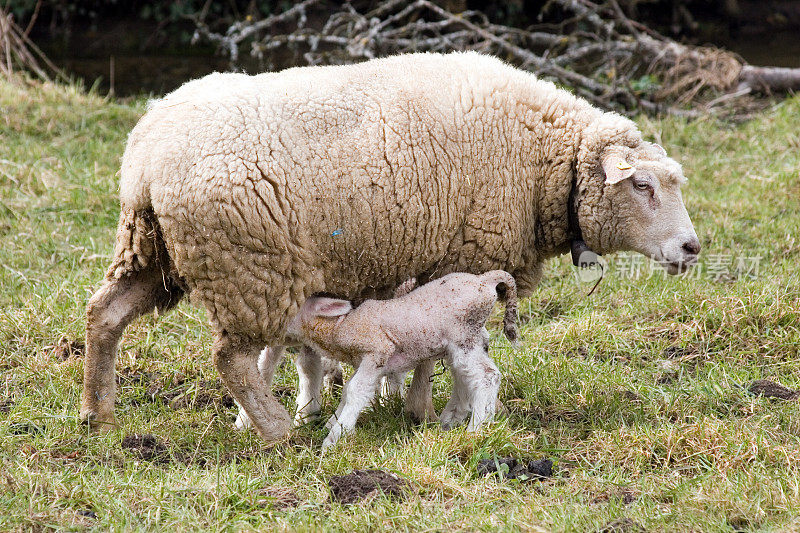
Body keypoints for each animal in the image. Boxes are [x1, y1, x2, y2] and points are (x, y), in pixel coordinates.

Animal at [284, 270, 520, 448]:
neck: (338, 326)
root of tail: (485, 279)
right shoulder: (366, 363)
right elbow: (348, 390)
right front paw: (332, 423)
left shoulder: (377, 350)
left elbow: (355, 391)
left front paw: (335, 437)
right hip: (471, 339)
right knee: (466, 378)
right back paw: (449, 421)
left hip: (464, 336)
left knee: (487, 377)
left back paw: (477, 428)